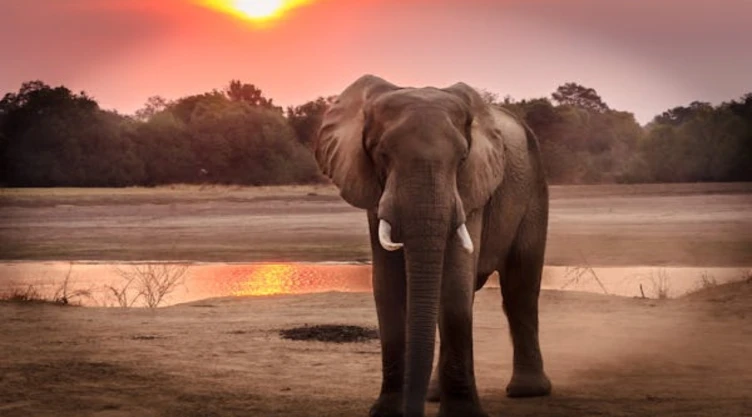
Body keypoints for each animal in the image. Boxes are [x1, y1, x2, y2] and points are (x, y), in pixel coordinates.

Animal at [314, 75, 551, 417]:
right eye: (382, 154)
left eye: (462, 159)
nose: (411, 411)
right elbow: (387, 286)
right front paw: (387, 412)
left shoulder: (471, 188)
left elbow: (454, 284)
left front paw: (463, 415)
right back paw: (434, 395)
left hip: (534, 188)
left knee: (521, 288)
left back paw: (527, 391)